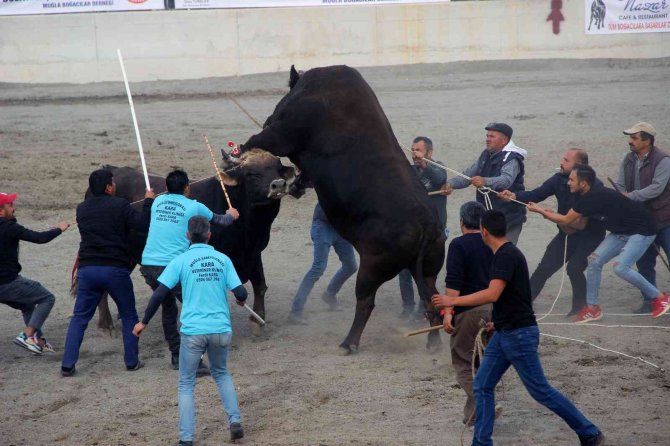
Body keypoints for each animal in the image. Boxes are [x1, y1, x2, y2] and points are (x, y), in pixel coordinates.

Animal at [78, 150, 294, 334]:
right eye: (251, 173)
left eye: (277, 168)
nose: (278, 184)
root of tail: (111, 170)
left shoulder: (254, 252)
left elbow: (260, 284)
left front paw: (258, 320)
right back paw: (106, 324)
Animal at [242, 64, 446, 354]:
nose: (269, 117)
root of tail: (427, 225)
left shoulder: (283, 133)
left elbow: (258, 139)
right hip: (427, 271)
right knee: (432, 302)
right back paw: (432, 343)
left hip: (371, 270)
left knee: (366, 303)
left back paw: (349, 343)